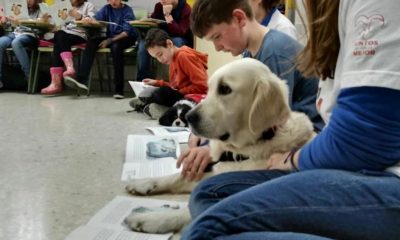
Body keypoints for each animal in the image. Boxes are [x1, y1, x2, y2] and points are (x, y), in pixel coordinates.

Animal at [125, 58, 316, 234]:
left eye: (225, 89)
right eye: (209, 89)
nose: (188, 117)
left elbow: (191, 211)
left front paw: (149, 218)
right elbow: (175, 177)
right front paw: (142, 182)